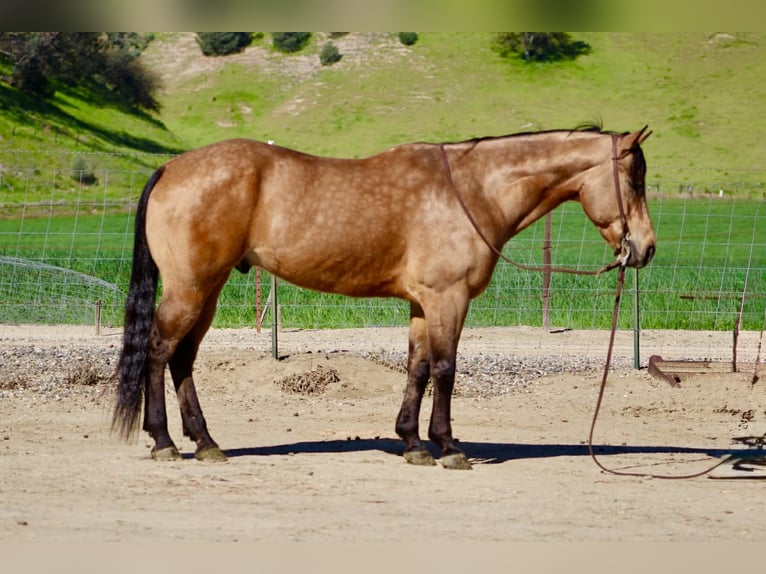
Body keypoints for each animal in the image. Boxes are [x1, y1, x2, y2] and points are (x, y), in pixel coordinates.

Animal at [113, 125, 655, 470]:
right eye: (634, 179)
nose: (645, 248)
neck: (472, 190)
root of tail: (170, 168)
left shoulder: (422, 304)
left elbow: (417, 368)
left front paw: (412, 442)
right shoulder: (448, 299)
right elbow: (445, 369)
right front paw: (448, 446)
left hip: (209, 290)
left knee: (183, 358)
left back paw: (205, 442)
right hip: (191, 288)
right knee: (159, 352)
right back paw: (164, 441)